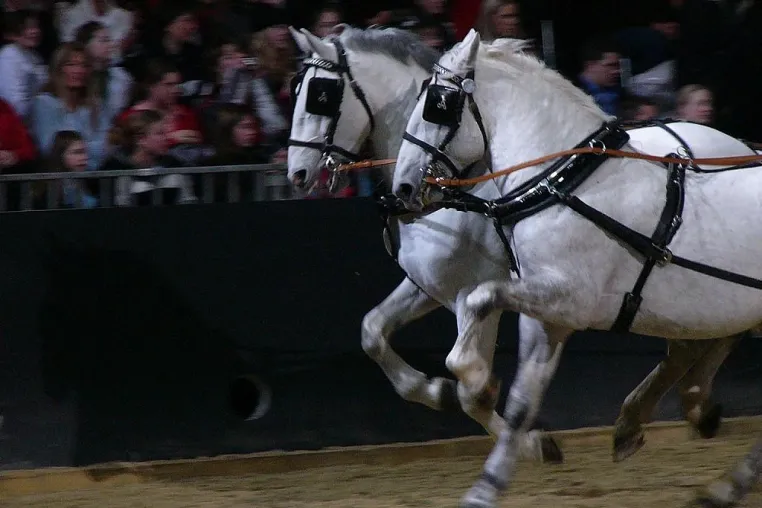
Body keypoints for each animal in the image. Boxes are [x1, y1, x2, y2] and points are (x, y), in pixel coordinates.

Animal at [286, 25, 750, 466]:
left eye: (320, 95)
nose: (296, 174)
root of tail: (737, 145)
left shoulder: (473, 292)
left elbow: (471, 383)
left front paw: (530, 442)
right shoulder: (429, 287)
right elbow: (373, 333)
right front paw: (433, 390)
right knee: (700, 337)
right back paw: (681, 409)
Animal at [391, 29, 762, 508]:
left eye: (437, 104)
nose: (402, 188)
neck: (566, 182)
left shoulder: (572, 299)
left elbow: (479, 298)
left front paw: (473, 378)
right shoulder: (547, 318)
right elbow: (520, 403)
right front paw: (489, 485)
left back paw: (718, 474)